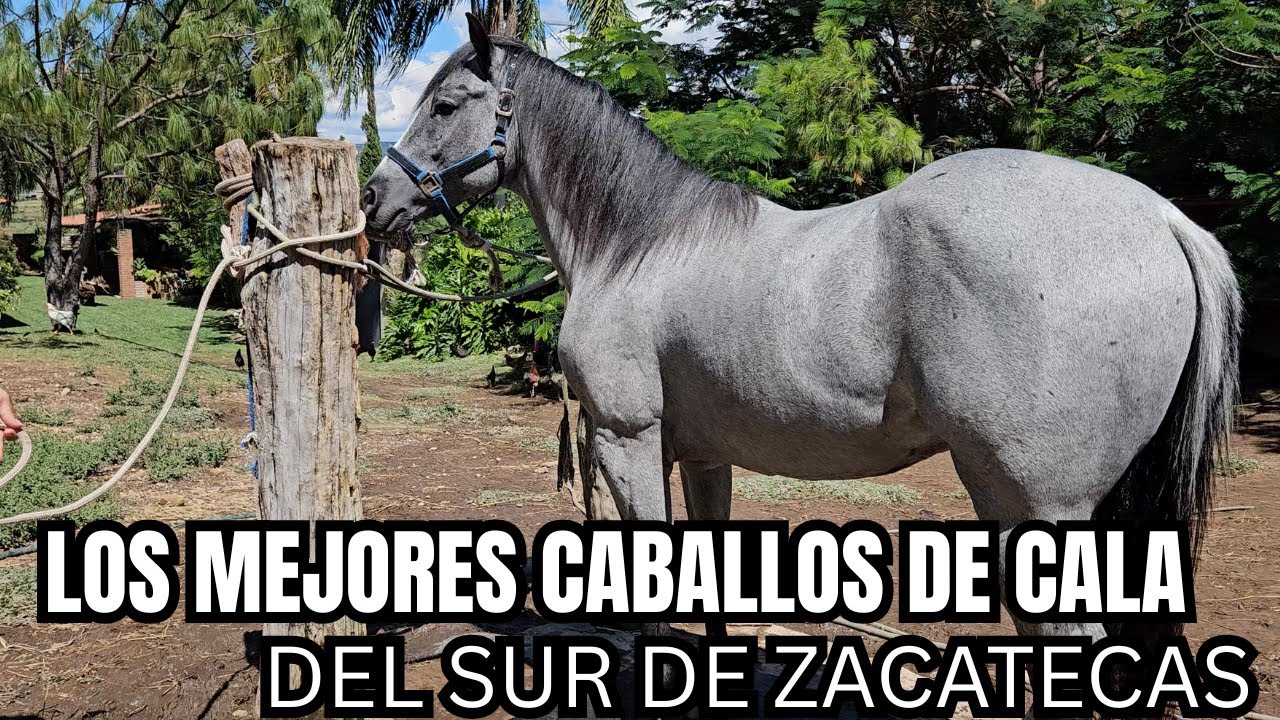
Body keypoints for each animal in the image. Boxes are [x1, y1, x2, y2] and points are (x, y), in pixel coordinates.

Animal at [361, 13, 1241, 701]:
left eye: (445, 104)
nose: (374, 200)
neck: (636, 247)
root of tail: (1165, 222)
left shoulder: (627, 438)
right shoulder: (702, 454)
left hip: (1034, 501)